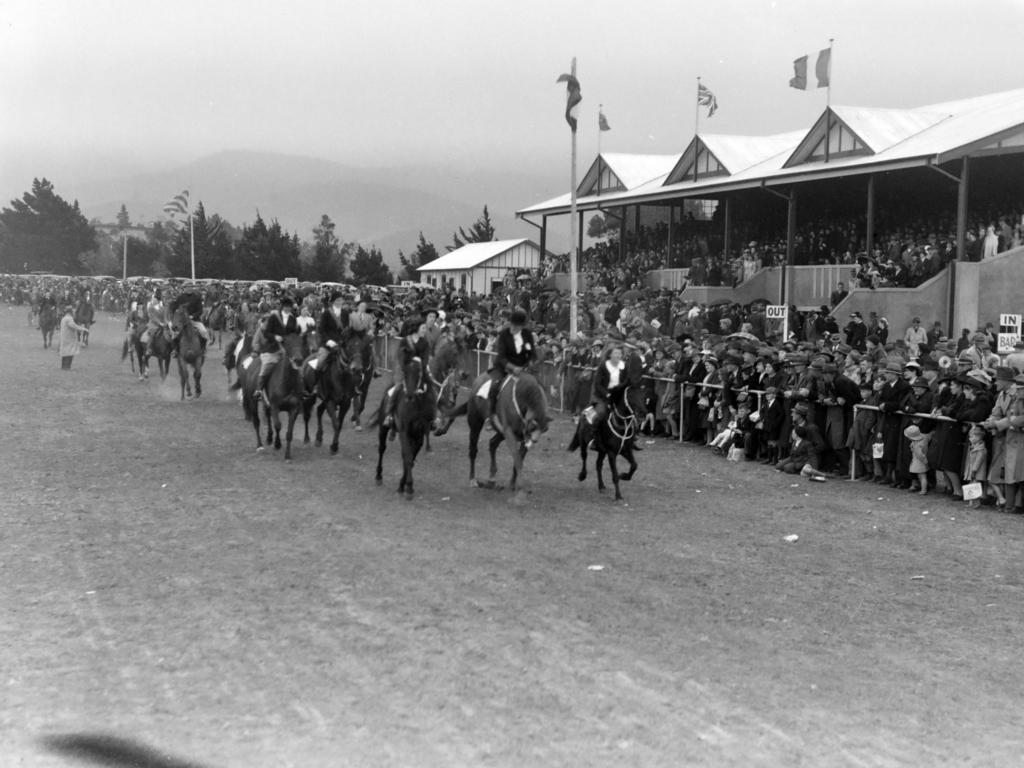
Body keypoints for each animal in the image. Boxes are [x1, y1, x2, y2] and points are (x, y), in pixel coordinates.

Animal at [374, 354, 438, 499]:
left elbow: (411, 458)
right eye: (405, 371)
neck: (417, 405)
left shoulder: (419, 435)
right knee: (382, 448)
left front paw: (402, 485)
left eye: (419, 372)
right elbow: (408, 457)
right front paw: (409, 487)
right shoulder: (404, 431)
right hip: (383, 428)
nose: (409, 394)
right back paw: (378, 476)